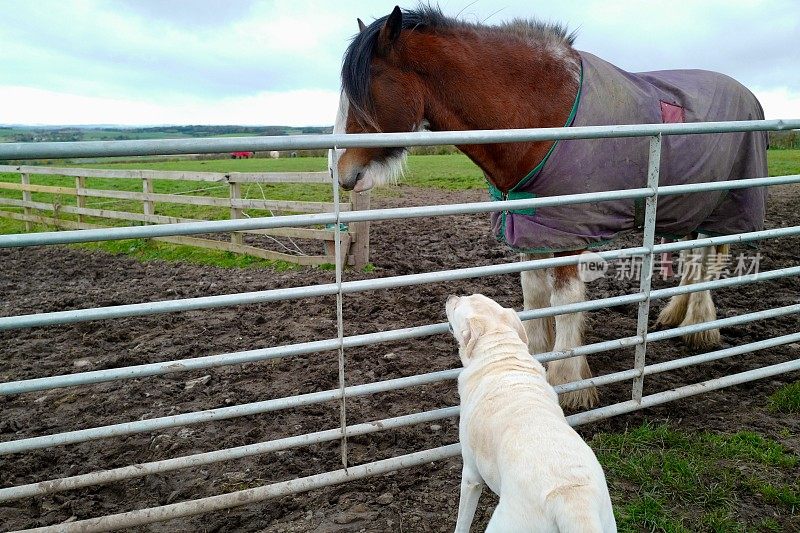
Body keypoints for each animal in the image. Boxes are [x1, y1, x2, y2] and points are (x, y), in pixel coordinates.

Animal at [336, 4, 768, 408]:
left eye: (367, 89)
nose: (341, 173)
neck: (540, 112)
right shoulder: (533, 228)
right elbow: (534, 296)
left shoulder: (570, 229)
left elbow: (564, 302)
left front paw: (568, 382)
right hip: (694, 203)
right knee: (695, 256)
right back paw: (676, 316)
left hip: (727, 203)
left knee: (712, 258)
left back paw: (701, 327)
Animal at [446, 294, 616, 528]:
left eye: (457, 306)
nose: (450, 297)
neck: (502, 357)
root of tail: (571, 500)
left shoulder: (471, 475)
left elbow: (462, 521)